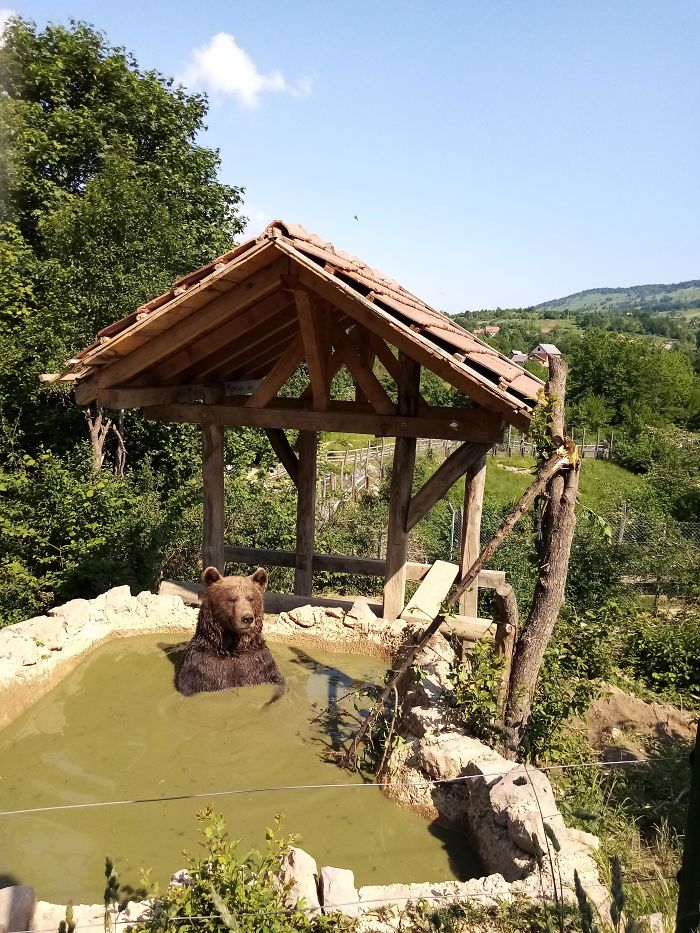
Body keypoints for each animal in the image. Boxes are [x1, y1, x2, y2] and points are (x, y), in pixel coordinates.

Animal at [174, 566, 284, 696]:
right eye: (232, 599)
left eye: (251, 599)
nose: (247, 618)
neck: (232, 647)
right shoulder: (201, 667)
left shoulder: (260, 664)